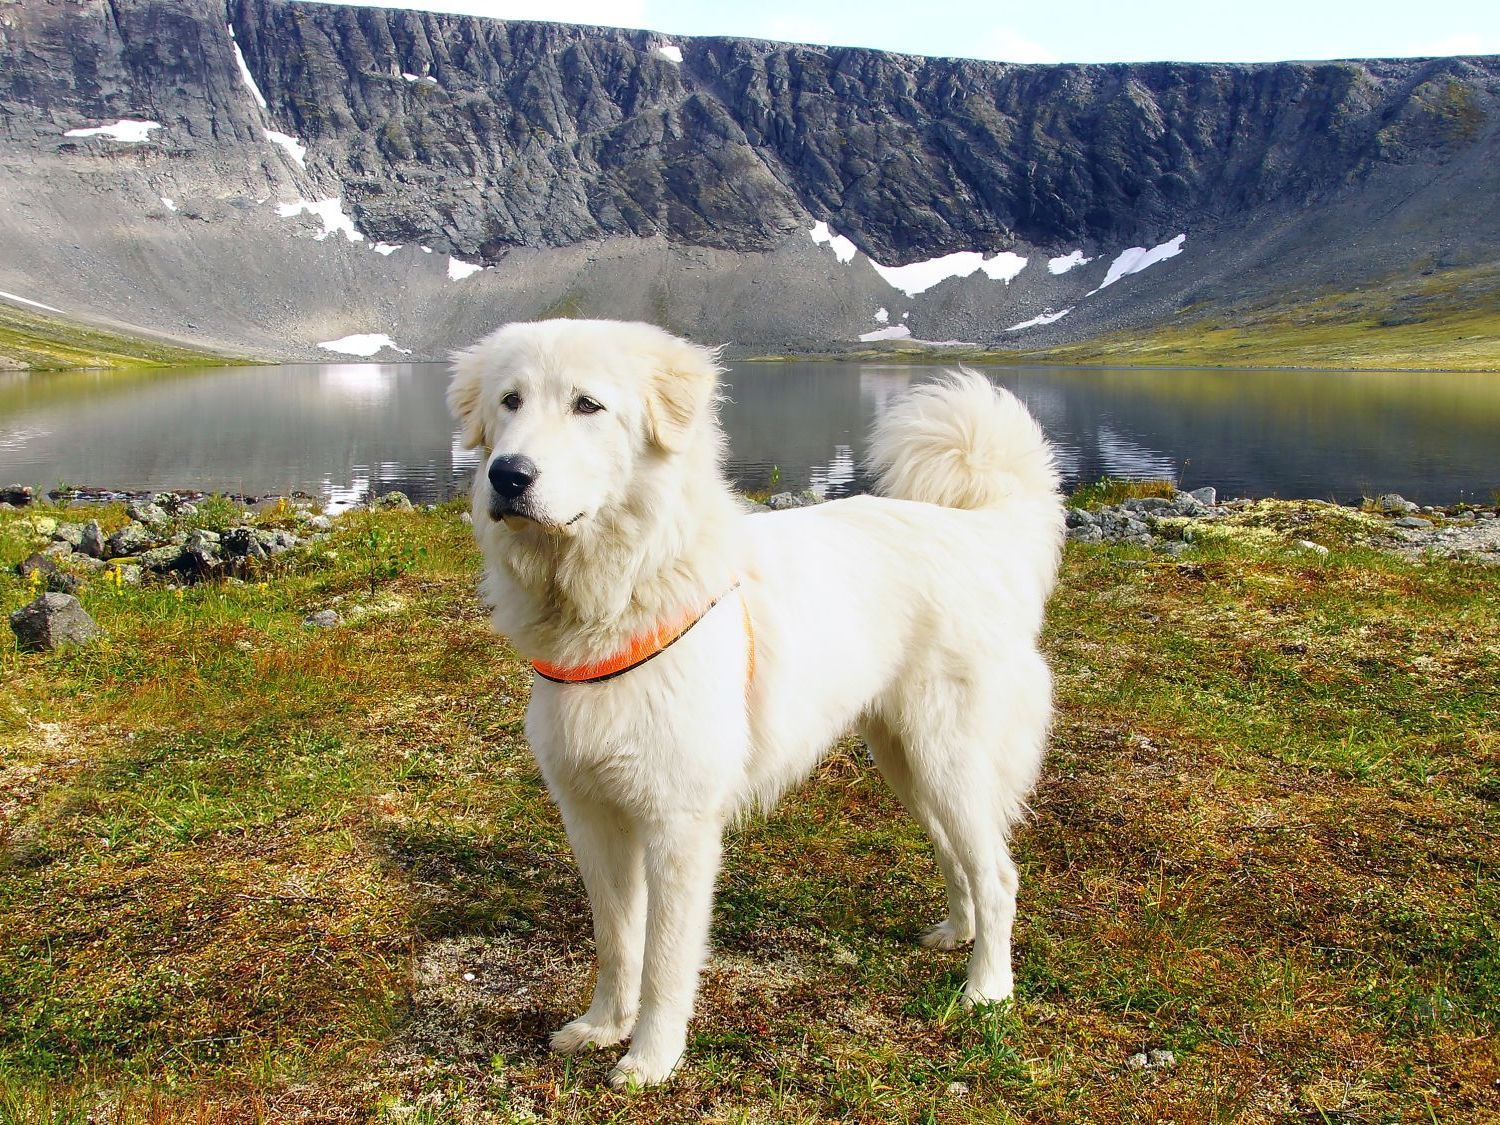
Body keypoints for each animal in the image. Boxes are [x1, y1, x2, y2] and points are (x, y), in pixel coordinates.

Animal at [447, 321, 1068, 1098]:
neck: (618, 597)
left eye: (588, 404)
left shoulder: (679, 827)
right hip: (908, 763)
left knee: (999, 875)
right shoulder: (591, 816)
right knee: (959, 858)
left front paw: (650, 1058)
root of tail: (977, 531)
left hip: (948, 756)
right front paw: (601, 1027)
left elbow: (665, 960)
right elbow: (617, 942)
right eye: (510, 401)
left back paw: (986, 987)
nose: (506, 475)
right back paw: (957, 934)